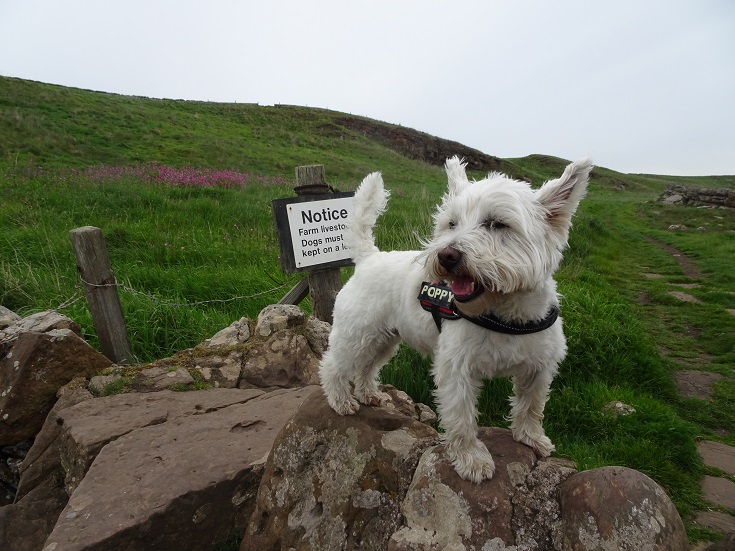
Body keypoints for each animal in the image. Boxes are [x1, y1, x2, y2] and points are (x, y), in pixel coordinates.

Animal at [322, 156, 592, 484]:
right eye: (451, 223)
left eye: (497, 223)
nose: (446, 255)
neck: (505, 313)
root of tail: (369, 257)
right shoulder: (457, 367)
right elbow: (462, 417)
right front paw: (472, 460)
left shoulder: (538, 367)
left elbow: (532, 406)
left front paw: (531, 438)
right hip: (357, 334)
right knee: (333, 365)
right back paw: (341, 401)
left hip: (385, 339)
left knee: (367, 366)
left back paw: (368, 393)